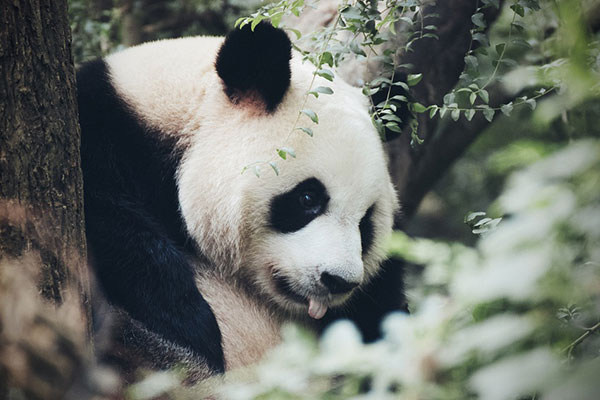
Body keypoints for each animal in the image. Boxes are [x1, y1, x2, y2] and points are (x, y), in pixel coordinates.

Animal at [76, 22, 404, 382]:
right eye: (308, 198)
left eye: (366, 222)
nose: (338, 281)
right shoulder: (102, 133)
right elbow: (111, 221)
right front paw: (190, 324)